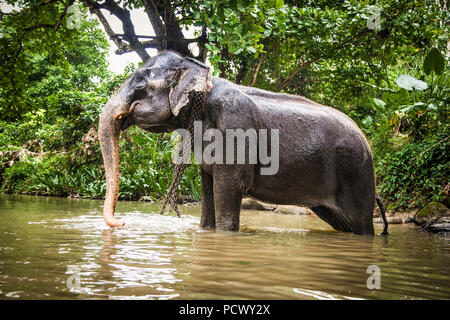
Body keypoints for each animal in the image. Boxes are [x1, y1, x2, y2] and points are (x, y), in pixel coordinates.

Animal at [100, 50, 388, 235]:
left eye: (139, 82)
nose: (123, 223)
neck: (204, 80)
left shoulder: (235, 129)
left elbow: (228, 189)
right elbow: (208, 190)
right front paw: (205, 231)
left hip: (357, 173)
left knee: (361, 223)